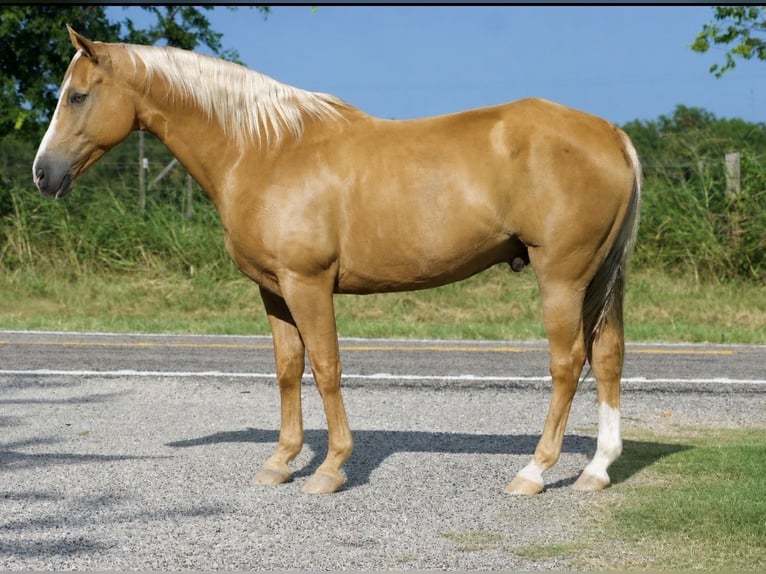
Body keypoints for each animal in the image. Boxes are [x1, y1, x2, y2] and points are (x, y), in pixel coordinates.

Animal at [33, 27, 641, 495]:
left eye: (77, 96)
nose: (43, 173)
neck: (265, 149)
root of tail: (611, 134)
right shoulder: (274, 290)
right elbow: (287, 370)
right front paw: (279, 463)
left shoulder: (308, 284)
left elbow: (326, 369)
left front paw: (329, 469)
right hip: (599, 279)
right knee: (607, 357)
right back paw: (596, 470)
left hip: (560, 277)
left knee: (568, 363)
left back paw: (533, 473)